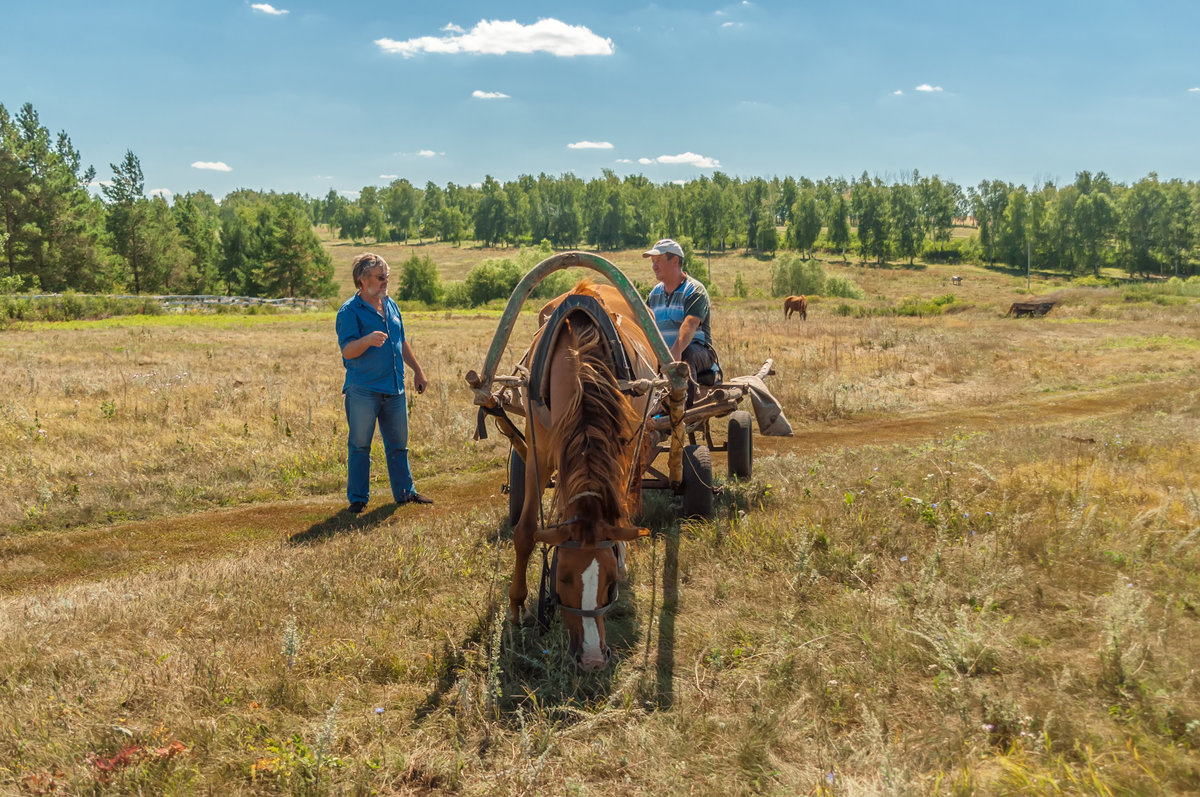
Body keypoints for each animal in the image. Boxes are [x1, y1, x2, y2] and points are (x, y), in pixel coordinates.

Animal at [508, 283, 657, 667]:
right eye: (561, 578)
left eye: (609, 584)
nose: (592, 659)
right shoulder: (538, 453)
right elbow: (525, 532)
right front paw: (516, 609)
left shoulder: (618, 446)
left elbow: (617, 508)